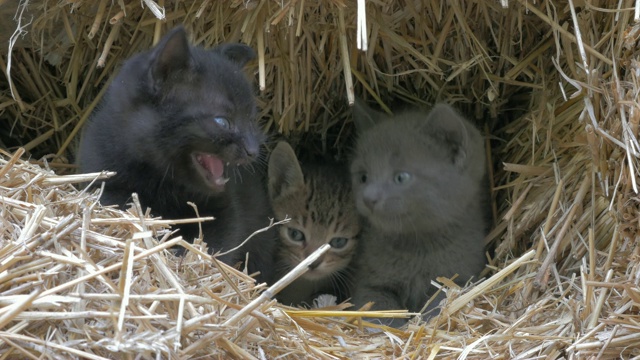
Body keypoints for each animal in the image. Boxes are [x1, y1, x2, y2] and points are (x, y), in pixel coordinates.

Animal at [77, 26, 276, 284]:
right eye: (222, 121)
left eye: (251, 119)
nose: (253, 149)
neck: (163, 181)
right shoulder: (107, 182)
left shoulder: (224, 208)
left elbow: (217, 241)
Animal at [348, 100, 488, 328]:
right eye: (363, 177)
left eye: (401, 177)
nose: (368, 198)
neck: (417, 247)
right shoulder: (368, 281)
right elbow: (377, 304)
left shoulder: (460, 276)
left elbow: (440, 301)